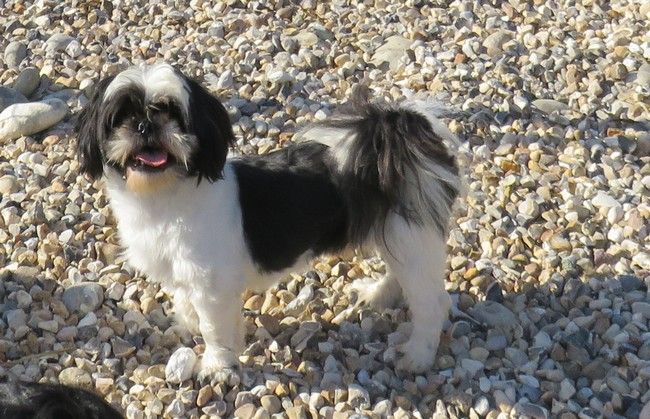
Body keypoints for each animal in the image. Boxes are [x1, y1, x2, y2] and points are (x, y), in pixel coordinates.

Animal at [75, 63, 462, 381]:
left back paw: (417, 356)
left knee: (432, 302)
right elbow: (190, 304)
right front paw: (193, 324)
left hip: (411, 236)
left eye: (171, 113)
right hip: (396, 237)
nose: (145, 125)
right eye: (121, 116)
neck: (164, 195)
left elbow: (214, 328)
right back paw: (377, 294)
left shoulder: (211, 285)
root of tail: (399, 136)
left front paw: (217, 367)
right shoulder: (187, 276)